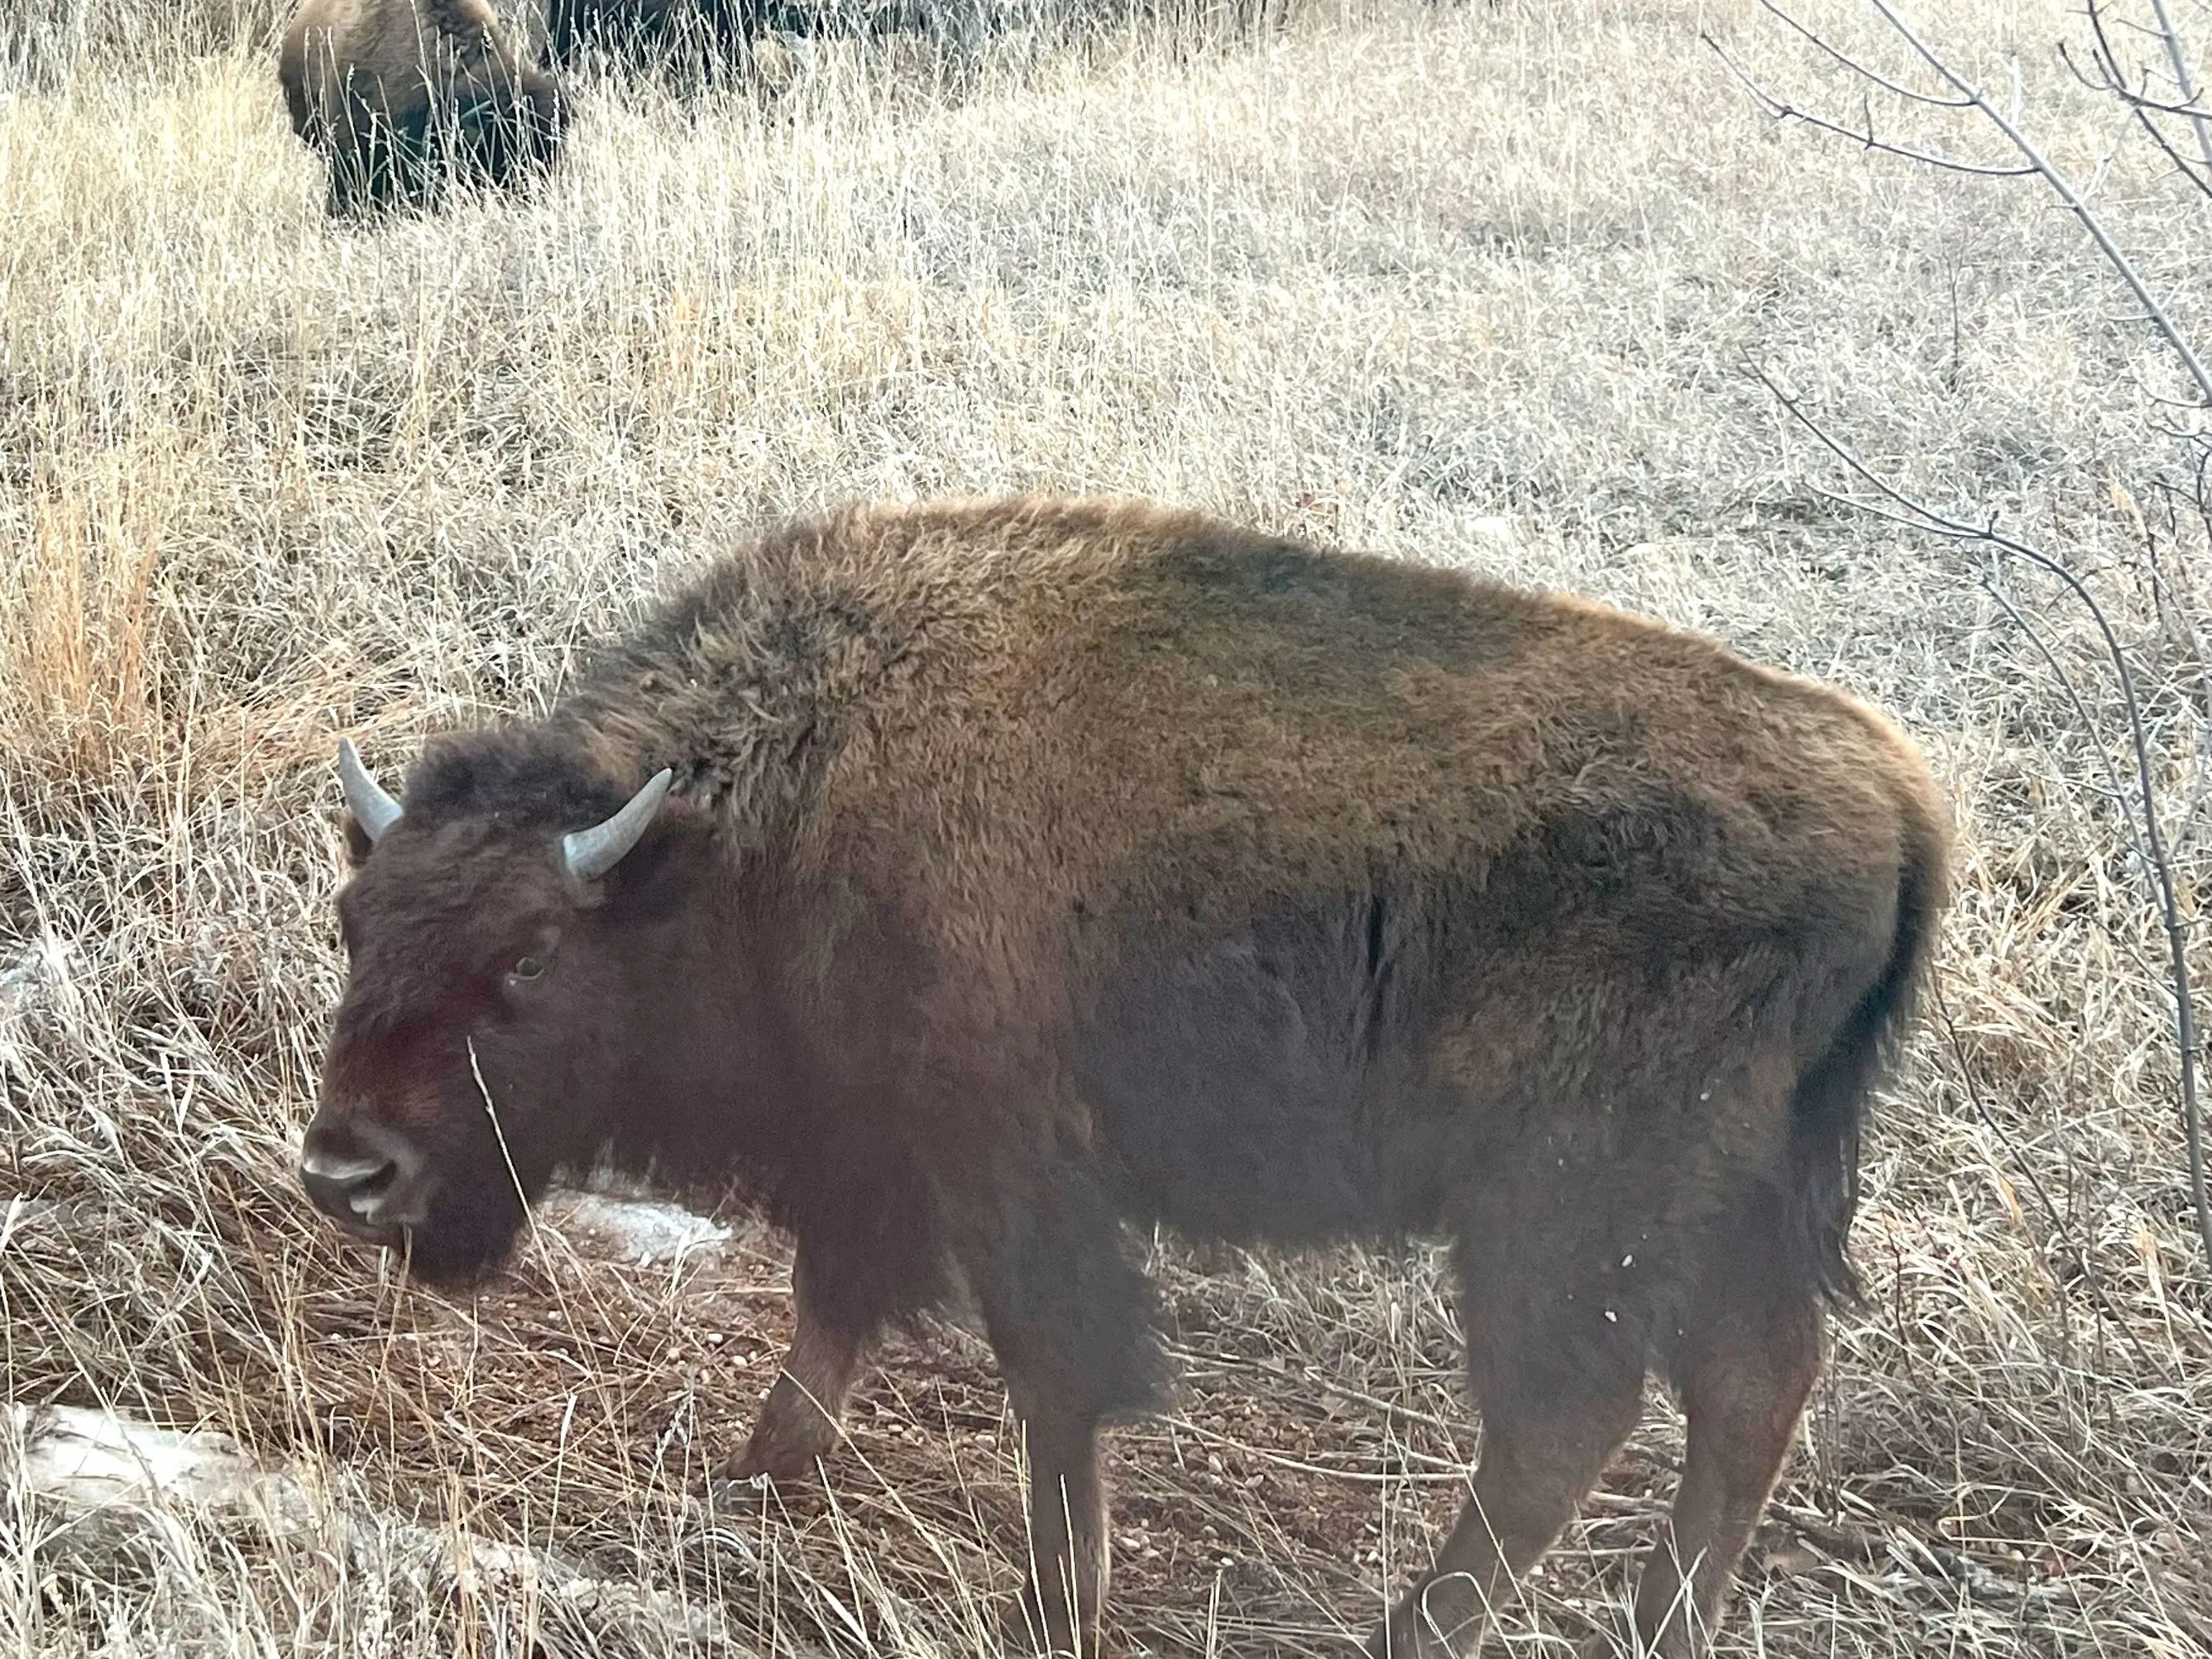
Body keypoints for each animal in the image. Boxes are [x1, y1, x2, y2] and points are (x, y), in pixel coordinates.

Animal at [300, 496, 1948, 1656]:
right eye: (353, 920)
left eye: (527, 960)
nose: (346, 1168)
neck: (761, 809)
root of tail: (1890, 788)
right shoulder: (871, 1157)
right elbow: (831, 1316)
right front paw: (753, 1478)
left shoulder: (1008, 1173)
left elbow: (1055, 1381)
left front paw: (1054, 1606)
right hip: (1729, 1208)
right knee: (1746, 1389)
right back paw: (1662, 1623)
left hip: (1562, 1217)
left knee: (1564, 1421)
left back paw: (1408, 1633)